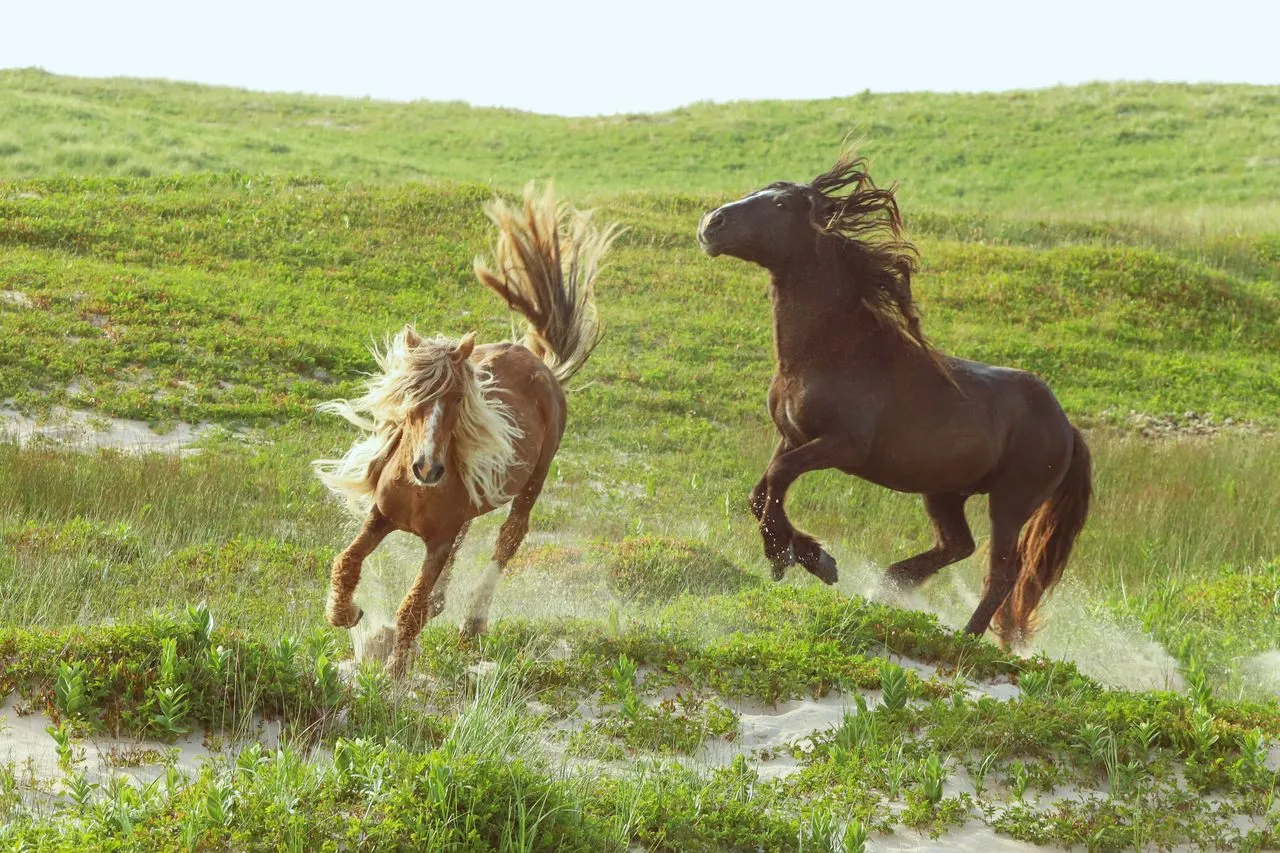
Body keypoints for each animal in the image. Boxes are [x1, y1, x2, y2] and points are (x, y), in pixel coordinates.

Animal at [314, 184, 620, 677]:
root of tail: (541, 364)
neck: (418, 494)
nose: (427, 468)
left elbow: (410, 607)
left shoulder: (436, 543)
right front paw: (348, 614)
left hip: (535, 478)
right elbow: (346, 562)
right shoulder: (380, 516)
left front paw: (396, 673)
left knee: (509, 538)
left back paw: (472, 622)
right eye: (411, 397)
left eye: (458, 399)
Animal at [696, 155, 1092, 647]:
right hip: (943, 493)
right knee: (958, 545)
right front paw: (816, 559)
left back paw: (964, 637)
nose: (711, 223)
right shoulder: (792, 436)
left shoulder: (842, 446)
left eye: (782, 203)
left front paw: (783, 555)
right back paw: (891, 583)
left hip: (1010, 502)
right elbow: (762, 491)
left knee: (1003, 571)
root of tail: (1067, 427)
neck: (831, 352)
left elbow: (778, 479)